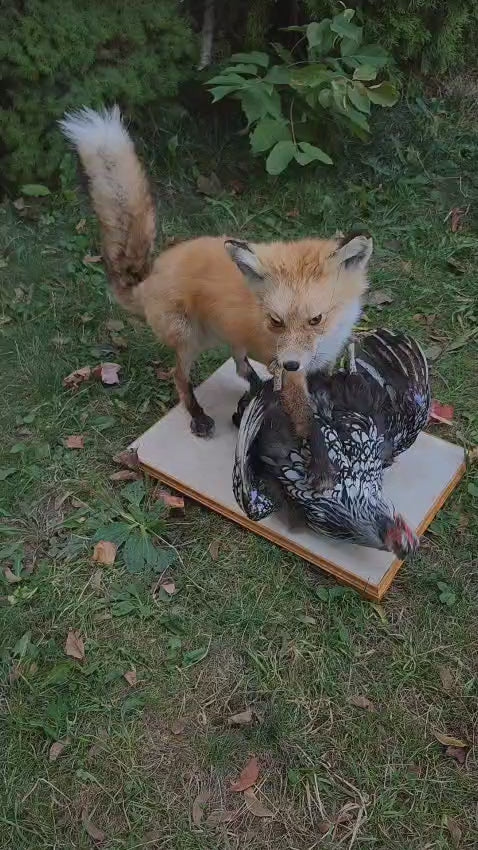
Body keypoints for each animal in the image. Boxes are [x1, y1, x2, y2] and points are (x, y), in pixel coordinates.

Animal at [60, 106, 373, 443]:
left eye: (316, 319)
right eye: (276, 321)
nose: (289, 363)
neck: (326, 341)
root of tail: (150, 277)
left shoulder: (321, 361)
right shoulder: (291, 374)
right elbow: (303, 416)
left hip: (226, 332)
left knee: (240, 366)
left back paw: (255, 387)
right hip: (190, 339)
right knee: (180, 377)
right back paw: (198, 415)